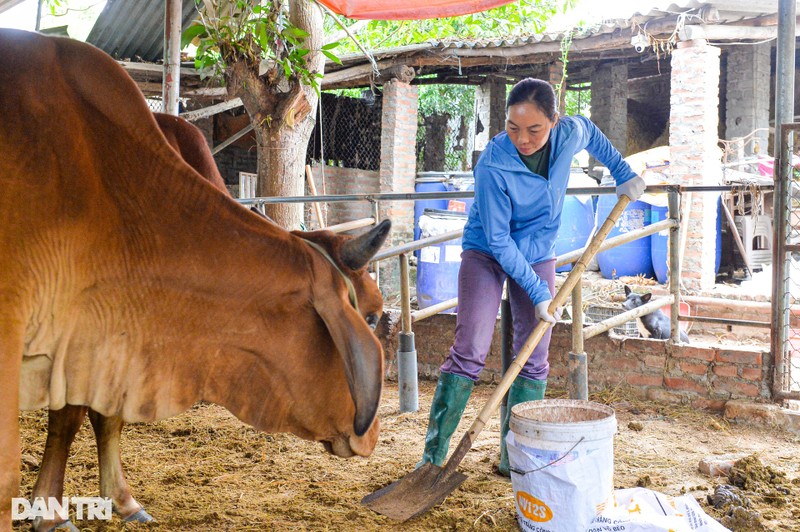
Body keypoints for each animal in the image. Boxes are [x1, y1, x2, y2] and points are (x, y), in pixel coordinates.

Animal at [0, 30, 390, 532]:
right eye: (373, 316)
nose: (373, 435)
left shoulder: (100, 337)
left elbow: (98, 417)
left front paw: (118, 500)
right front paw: (49, 512)